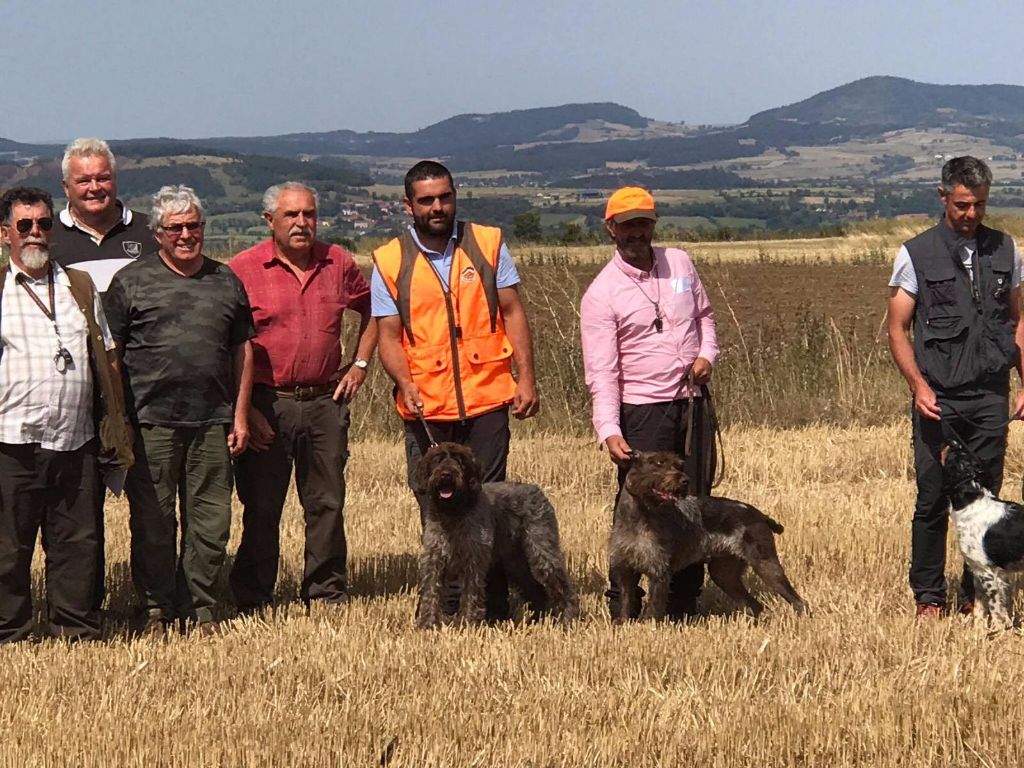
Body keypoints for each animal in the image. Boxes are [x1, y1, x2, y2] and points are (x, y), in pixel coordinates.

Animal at [411, 442, 581, 626]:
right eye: (438, 459)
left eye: (460, 461)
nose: (446, 475)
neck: (453, 512)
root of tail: (537, 491)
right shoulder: (434, 559)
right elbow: (431, 592)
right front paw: (426, 623)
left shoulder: (473, 560)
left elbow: (471, 592)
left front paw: (468, 622)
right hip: (515, 562)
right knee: (535, 589)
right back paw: (535, 620)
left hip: (541, 552)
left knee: (562, 585)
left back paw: (568, 618)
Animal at [606, 454, 806, 622]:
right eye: (658, 463)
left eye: (678, 464)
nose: (685, 480)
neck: (639, 516)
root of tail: (760, 515)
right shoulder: (625, 570)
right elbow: (626, 602)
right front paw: (623, 624)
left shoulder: (659, 571)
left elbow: (654, 608)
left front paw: (649, 628)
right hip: (724, 574)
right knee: (755, 605)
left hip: (765, 564)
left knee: (799, 602)